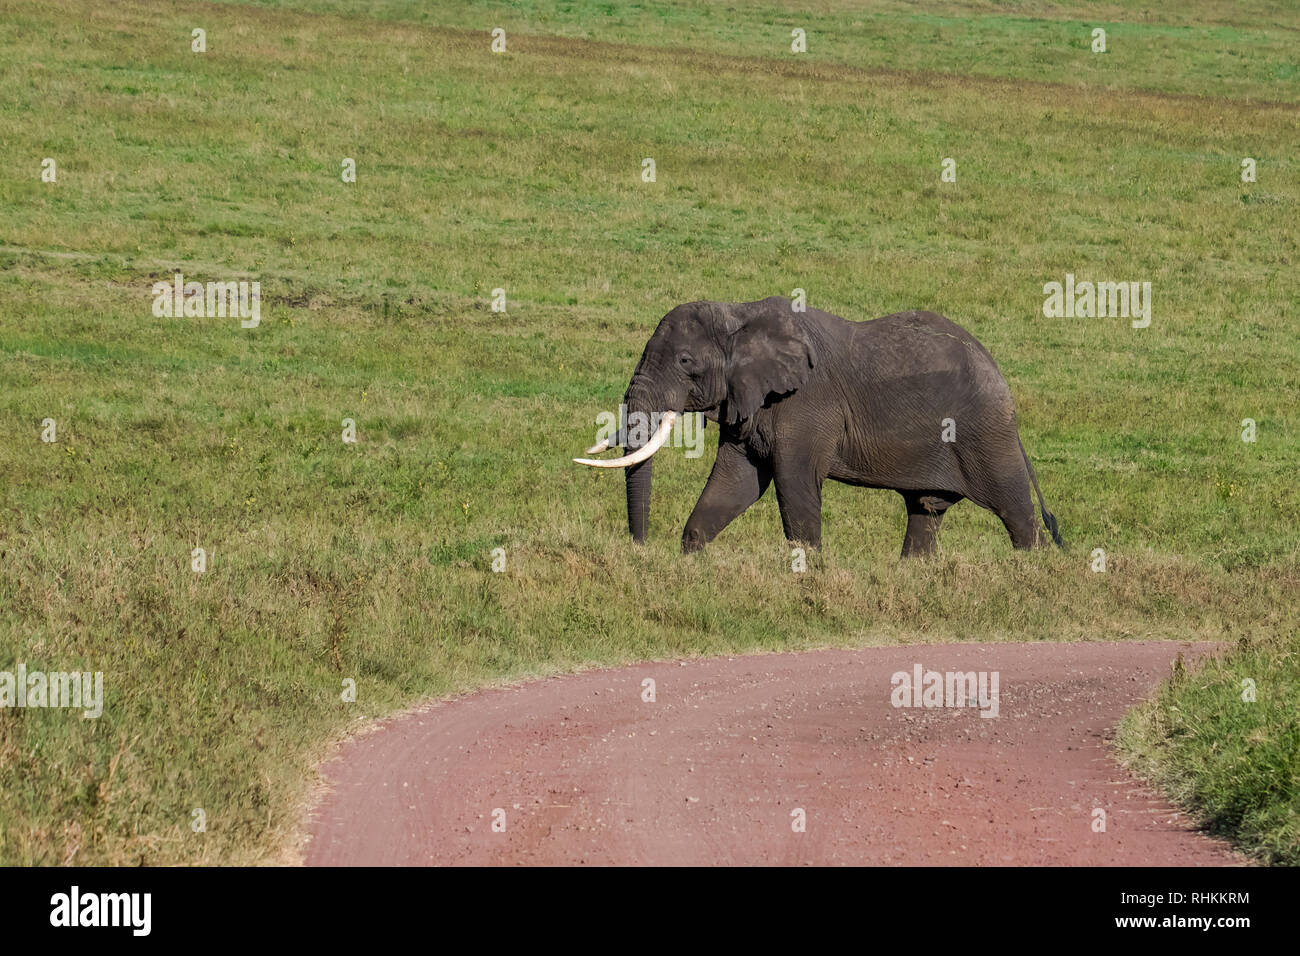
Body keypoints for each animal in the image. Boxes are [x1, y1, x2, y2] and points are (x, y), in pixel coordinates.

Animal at [574, 295, 1060, 556]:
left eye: (685, 362)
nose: (640, 549)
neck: (739, 312)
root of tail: (998, 372)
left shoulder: (807, 404)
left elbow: (794, 483)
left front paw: (806, 571)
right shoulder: (750, 402)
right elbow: (736, 481)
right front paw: (691, 560)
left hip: (986, 430)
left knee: (1015, 510)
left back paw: (1030, 571)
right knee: (925, 511)